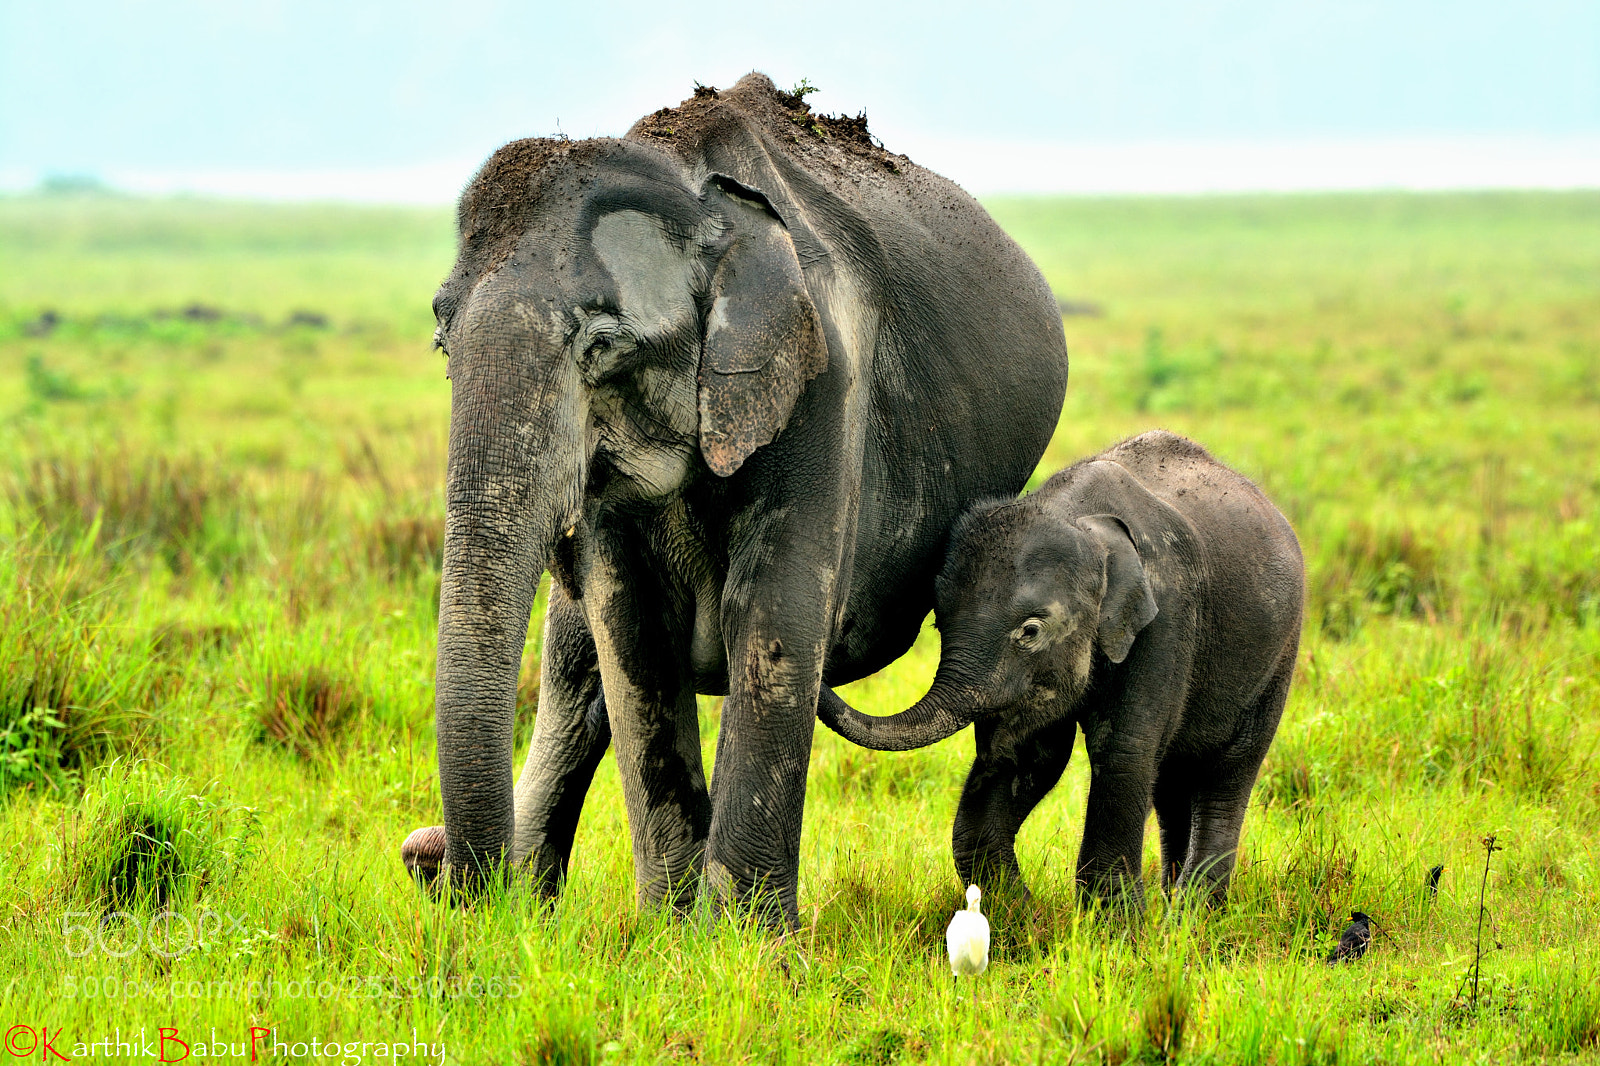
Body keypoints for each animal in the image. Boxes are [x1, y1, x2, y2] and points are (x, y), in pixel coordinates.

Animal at [399, 73, 1070, 925]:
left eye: (603, 346)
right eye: (441, 343)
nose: (430, 859)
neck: (694, 194)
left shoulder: (823, 376)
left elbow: (774, 617)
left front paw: (746, 938)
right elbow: (629, 635)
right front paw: (671, 933)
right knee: (575, 674)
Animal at [818, 430, 1304, 906]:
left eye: (1030, 631)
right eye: (938, 623)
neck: (1080, 518)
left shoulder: (1167, 619)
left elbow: (1122, 748)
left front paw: (1113, 925)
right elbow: (1029, 756)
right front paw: (1021, 915)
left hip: (1281, 653)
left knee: (1228, 771)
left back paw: (1192, 911)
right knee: (1172, 777)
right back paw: (1172, 908)